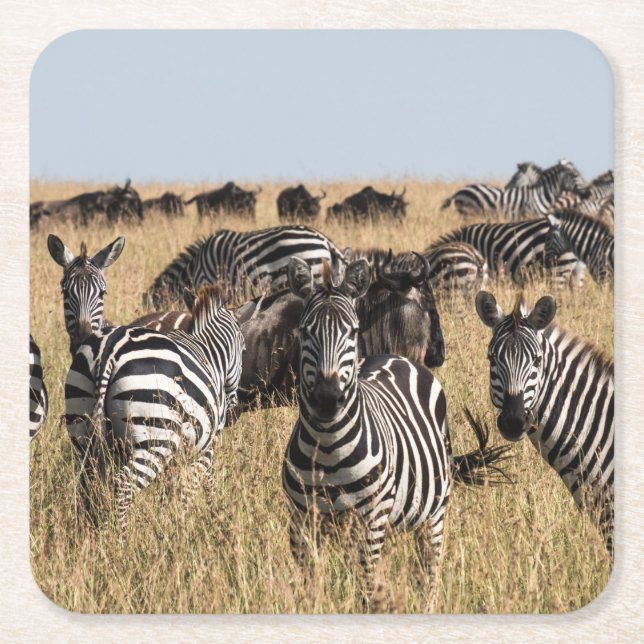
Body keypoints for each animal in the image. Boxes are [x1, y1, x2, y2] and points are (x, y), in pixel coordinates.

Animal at [64, 284, 245, 535]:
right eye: (244, 348)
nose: (234, 413)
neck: (208, 352)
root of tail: (109, 348)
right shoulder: (205, 447)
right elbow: (197, 485)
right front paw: (199, 521)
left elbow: (170, 493)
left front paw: (168, 524)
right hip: (155, 438)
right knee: (123, 486)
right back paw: (121, 540)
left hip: (82, 432)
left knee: (89, 487)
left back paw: (93, 536)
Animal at [282, 257, 510, 603]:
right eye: (306, 331)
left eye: (353, 331)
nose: (327, 399)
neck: (327, 446)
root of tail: (397, 358)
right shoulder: (301, 523)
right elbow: (310, 591)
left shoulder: (371, 520)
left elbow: (366, 589)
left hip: (432, 515)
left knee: (429, 574)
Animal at [441, 160, 589, 221]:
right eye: (575, 176)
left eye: (515, 177)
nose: (587, 194)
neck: (540, 195)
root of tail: (459, 191)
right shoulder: (530, 215)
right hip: (468, 213)